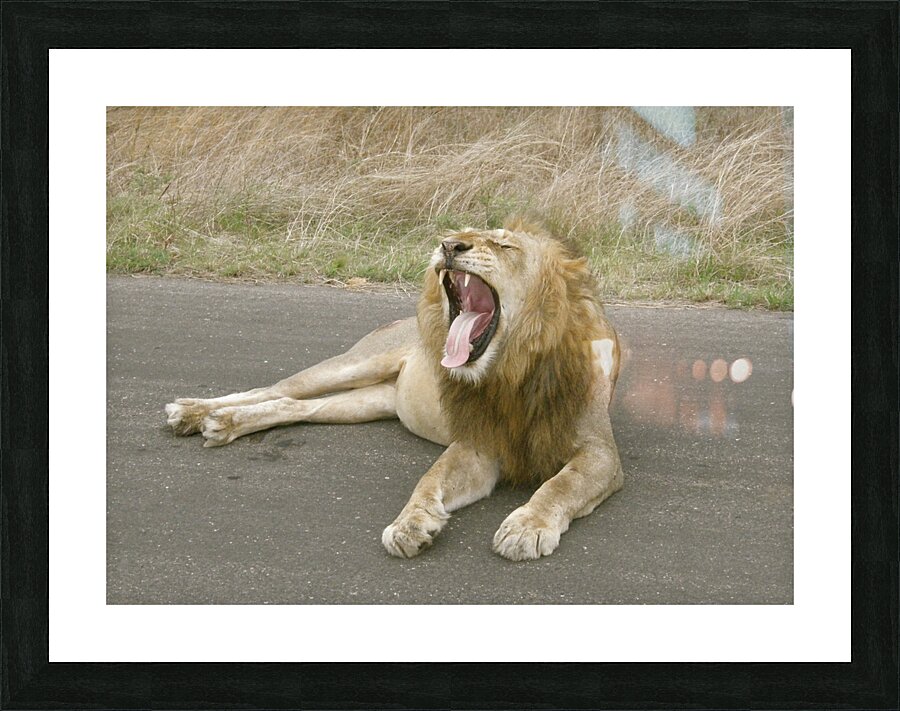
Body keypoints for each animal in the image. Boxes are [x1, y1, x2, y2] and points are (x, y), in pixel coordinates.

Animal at [165, 218, 623, 560]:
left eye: (504, 245)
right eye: (460, 233)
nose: (449, 245)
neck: (511, 370)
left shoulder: (600, 453)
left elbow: (562, 484)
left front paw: (526, 526)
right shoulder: (476, 442)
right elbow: (432, 476)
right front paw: (410, 523)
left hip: (366, 403)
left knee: (295, 406)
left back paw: (221, 422)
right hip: (356, 364)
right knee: (275, 387)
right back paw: (194, 412)